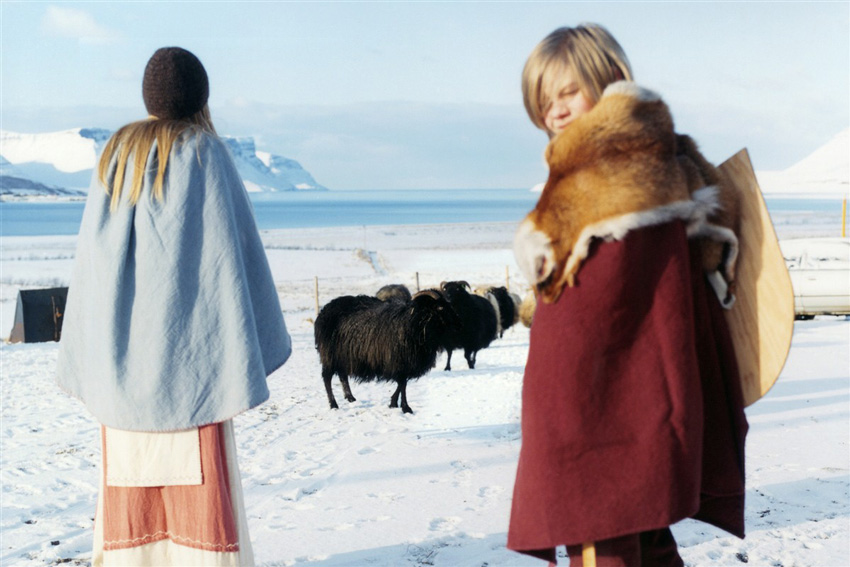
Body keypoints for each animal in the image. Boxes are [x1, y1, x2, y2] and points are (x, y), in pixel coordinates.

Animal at [314, 290, 460, 414]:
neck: (414, 322)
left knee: (343, 375)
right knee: (327, 378)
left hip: (343, 356)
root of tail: (324, 311)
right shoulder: (399, 361)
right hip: (329, 355)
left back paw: (350, 398)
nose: (458, 322)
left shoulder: (405, 364)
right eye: (440, 308)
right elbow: (403, 384)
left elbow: (402, 383)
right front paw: (405, 407)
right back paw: (333, 404)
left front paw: (393, 403)